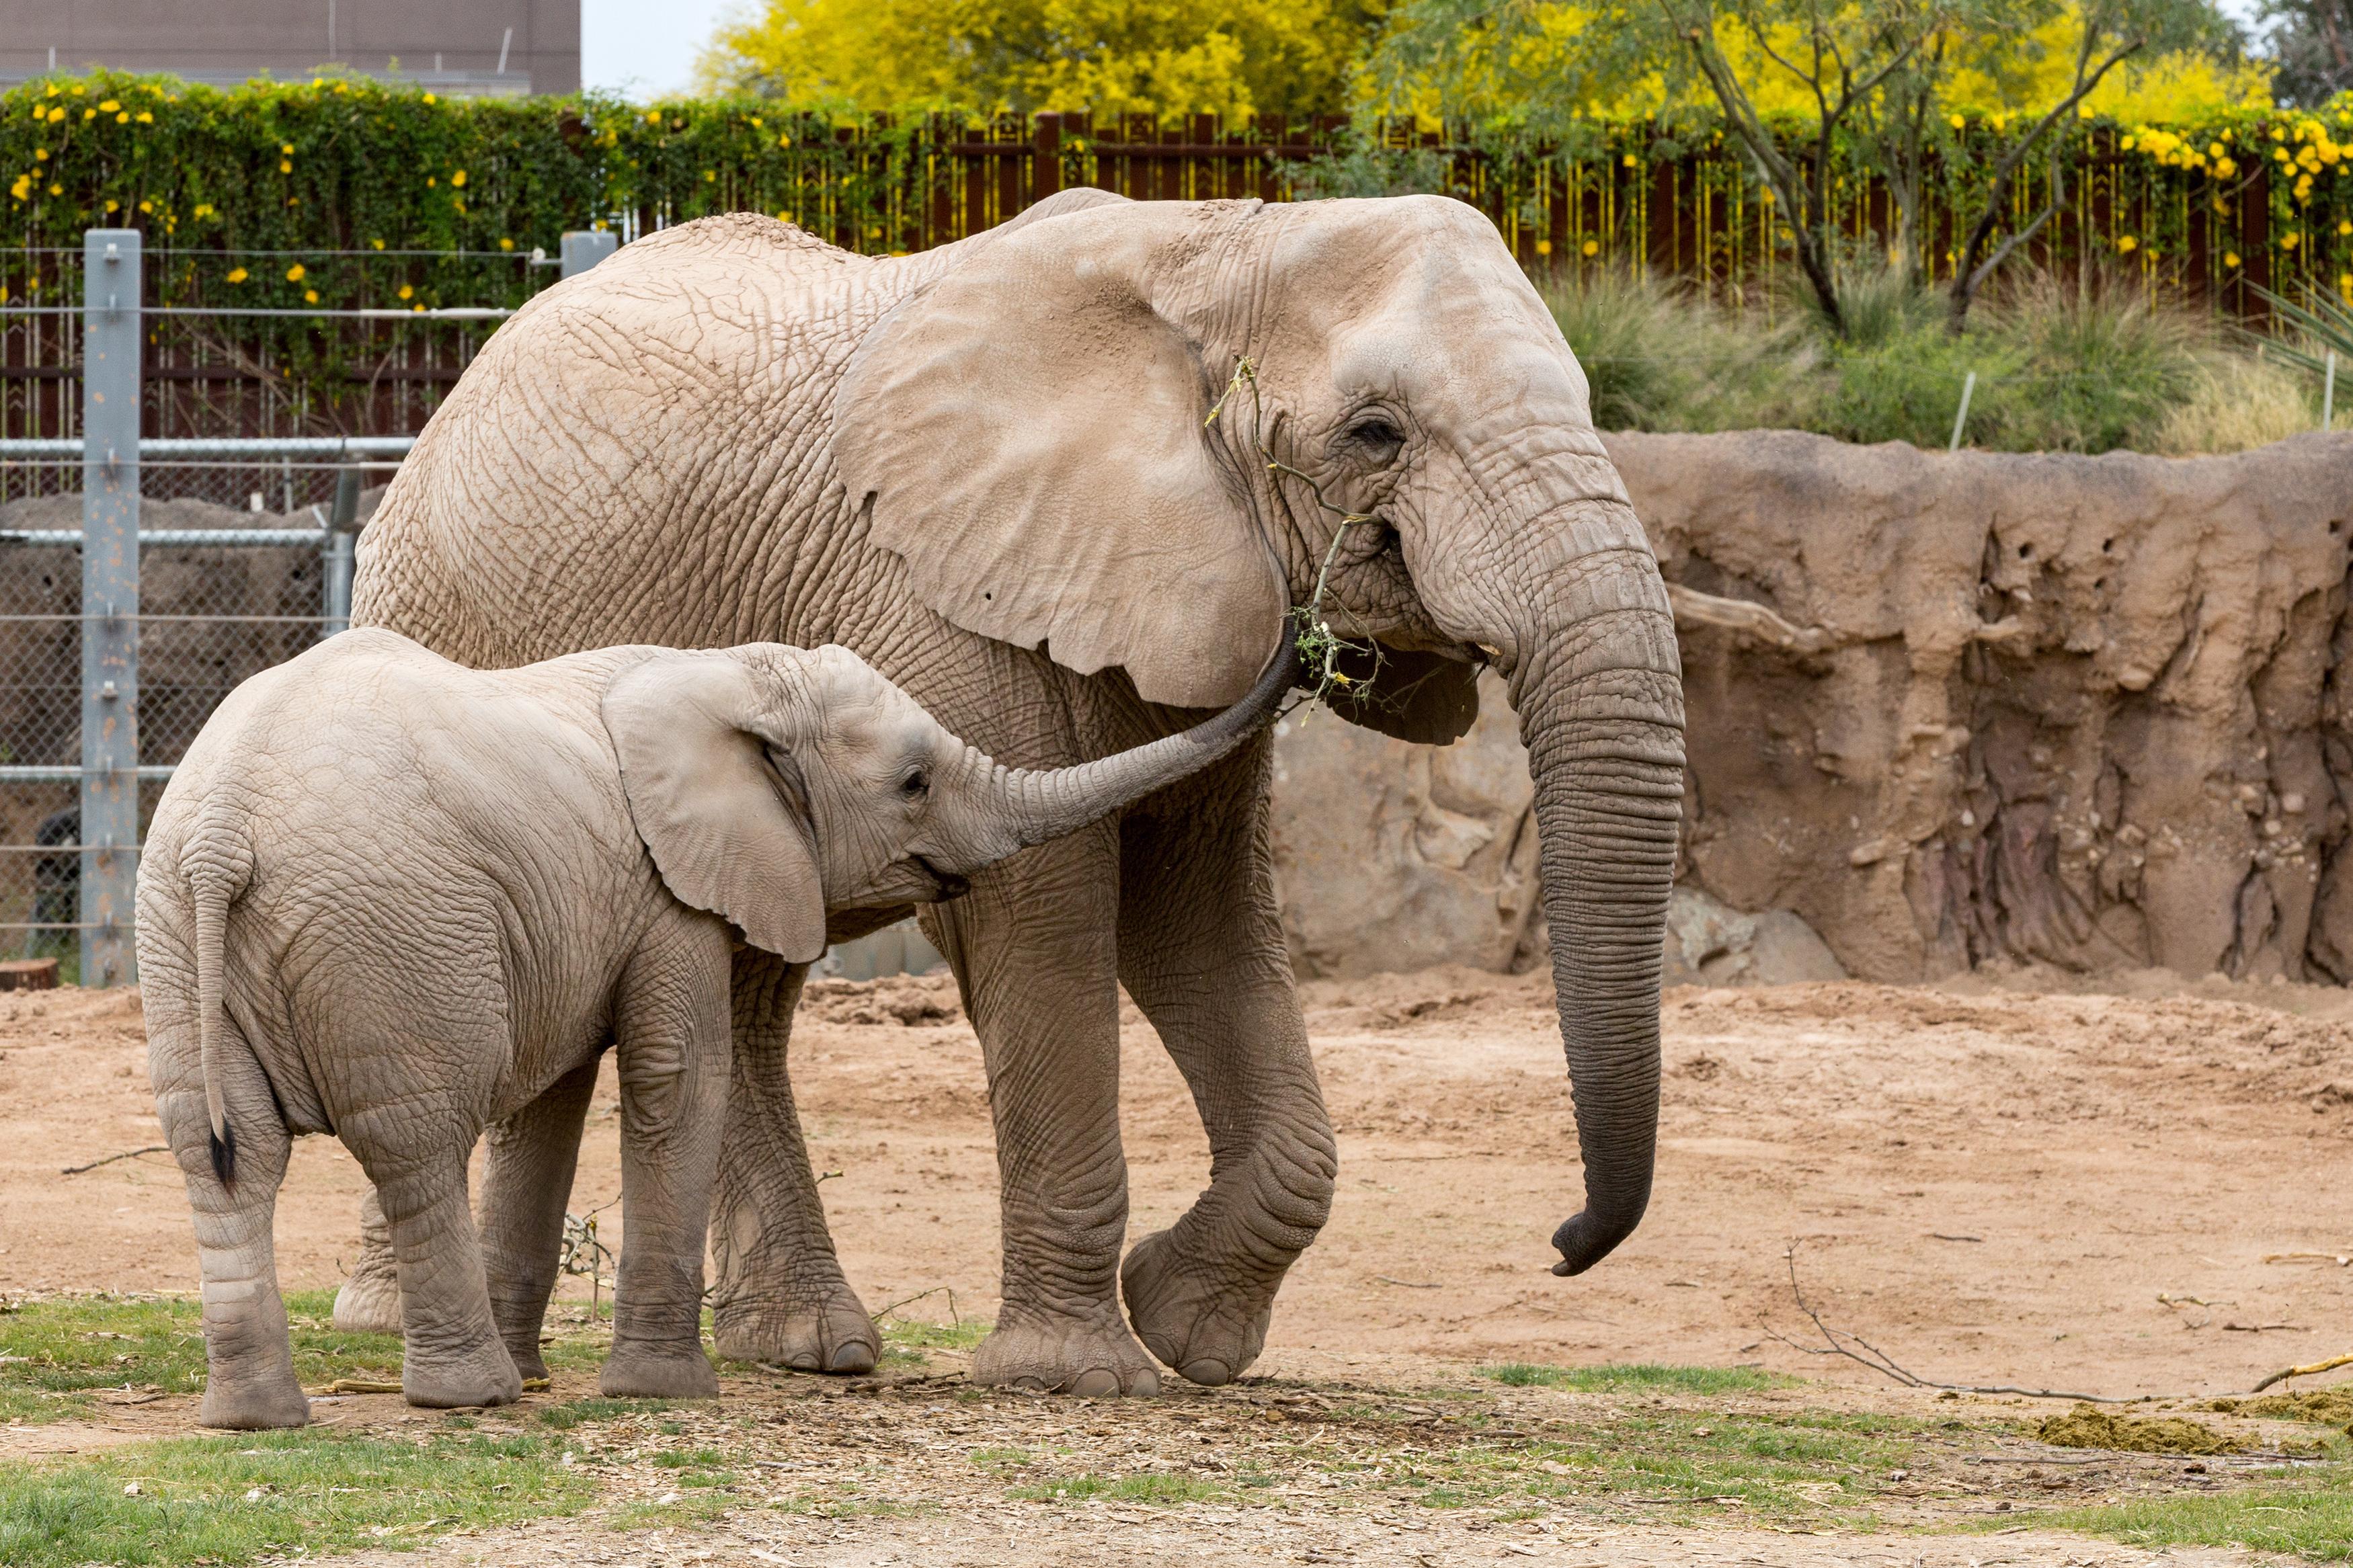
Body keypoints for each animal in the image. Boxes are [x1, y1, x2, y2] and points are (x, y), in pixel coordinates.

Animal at [142, 630, 1308, 1438]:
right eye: (914, 783)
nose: (1305, 647)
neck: (732, 675)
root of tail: (222, 830)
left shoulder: (578, 908)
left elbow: (548, 1105)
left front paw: (552, 1372)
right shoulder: (671, 894)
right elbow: (676, 1079)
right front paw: (661, 1392)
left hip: (184, 938)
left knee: (223, 1158)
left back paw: (257, 1418)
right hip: (390, 934)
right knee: (416, 1142)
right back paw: (470, 1398)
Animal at [341, 187, 1685, 1401]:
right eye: (1376, 434)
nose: (1563, 1246)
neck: (1224, 243)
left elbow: (1195, 921)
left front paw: (1190, 1328)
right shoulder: (940, 589)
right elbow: (1039, 919)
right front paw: (1080, 1374)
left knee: (744, 975)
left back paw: (806, 1347)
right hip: (433, 615)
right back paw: (397, 1322)